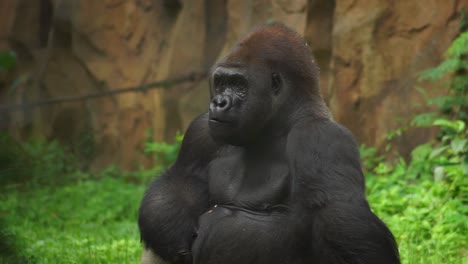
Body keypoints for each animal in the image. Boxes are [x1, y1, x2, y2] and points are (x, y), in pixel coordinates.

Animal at [137, 23, 400, 264]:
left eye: (239, 85)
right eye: (221, 82)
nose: (218, 103)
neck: (275, 125)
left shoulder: (321, 137)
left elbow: (340, 216)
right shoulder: (201, 130)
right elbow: (182, 178)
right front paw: (172, 227)